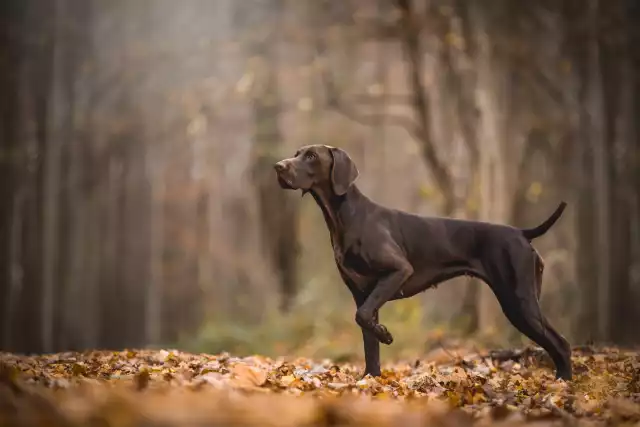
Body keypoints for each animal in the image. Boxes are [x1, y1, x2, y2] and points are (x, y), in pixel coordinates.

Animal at [272, 145, 572, 382]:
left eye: (311, 156)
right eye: (297, 153)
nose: (277, 166)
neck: (345, 216)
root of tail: (521, 233)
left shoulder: (398, 271)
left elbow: (364, 318)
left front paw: (386, 335)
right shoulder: (362, 293)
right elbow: (369, 341)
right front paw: (371, 379)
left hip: (518, 301)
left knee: (561, 343)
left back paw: (563, 383)